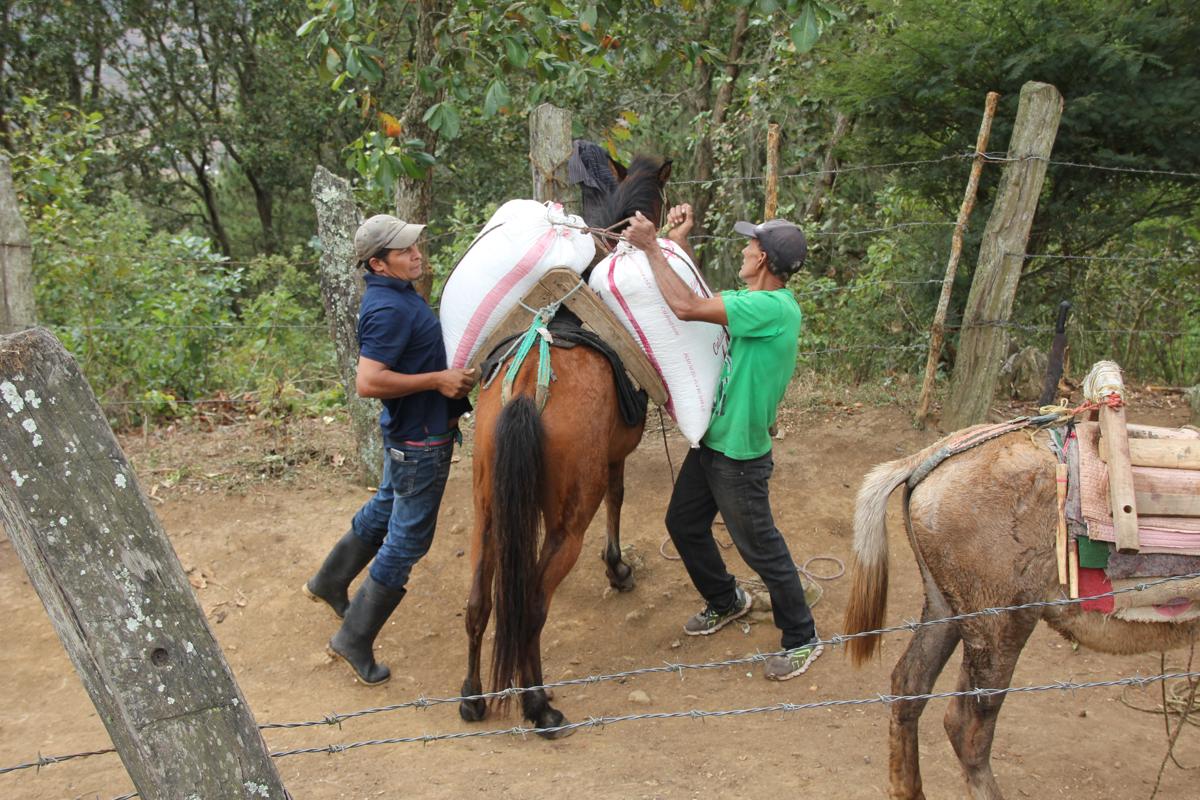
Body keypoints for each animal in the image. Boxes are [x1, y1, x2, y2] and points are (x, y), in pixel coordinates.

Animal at [457, 150, 672, 736]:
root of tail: (531, 381)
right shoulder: (616, 457)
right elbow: (619, 498)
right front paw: (617, 569)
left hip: (487, 509)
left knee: (479, 603)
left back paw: (472, 696)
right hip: (566, 521)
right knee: (531, 606)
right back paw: (539, 705)